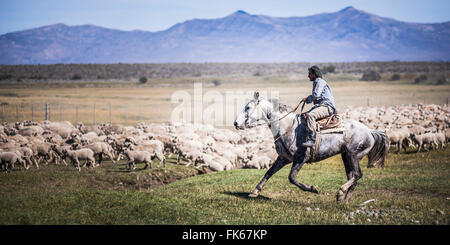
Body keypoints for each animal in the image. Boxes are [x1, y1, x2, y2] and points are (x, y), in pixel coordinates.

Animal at [234, 92, 388, 203]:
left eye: (248, 107)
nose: (236, 123)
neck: (288, 127)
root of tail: (370, 132)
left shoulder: (300, 158)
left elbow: (292, 178)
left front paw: (312, 188)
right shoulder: (283, 158)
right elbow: (268, 173)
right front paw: (254, 192)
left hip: (354, 155)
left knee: (357, 174)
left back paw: (340, 192)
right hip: (346, 156)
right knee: (353, 177)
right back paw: (344, 200)